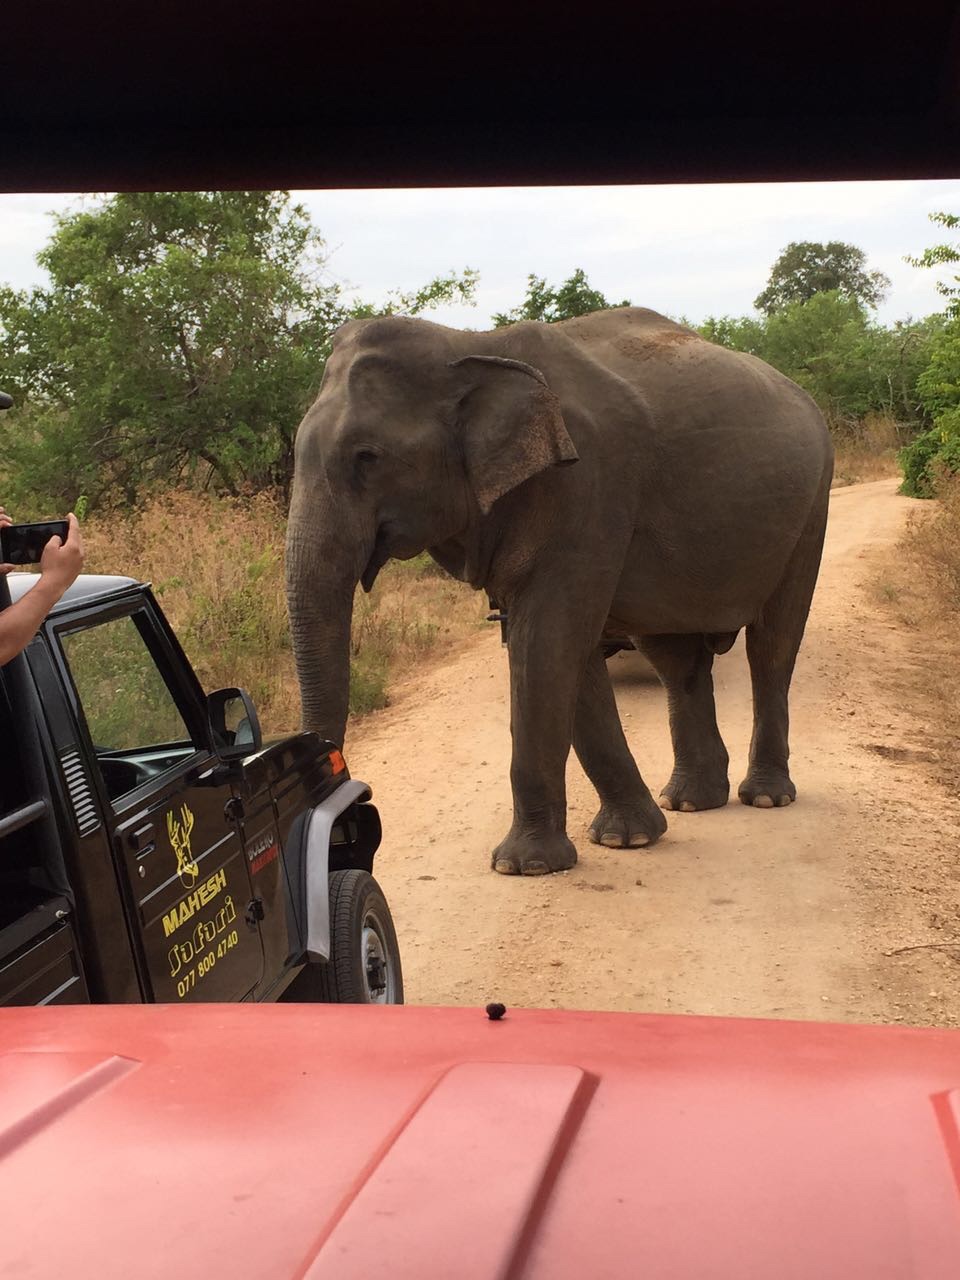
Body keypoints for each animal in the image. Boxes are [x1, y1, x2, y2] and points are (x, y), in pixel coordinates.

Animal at [288, 304, 834, 875]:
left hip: (813, 503)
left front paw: (523, 866)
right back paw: (688, 802)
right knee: (675, 658)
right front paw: (625, 839)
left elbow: (547, 640)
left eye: (367, 456)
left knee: (771, 647)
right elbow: (563, 651)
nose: (344, 790)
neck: (468, 343)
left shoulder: (588, 484)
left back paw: (766, 797)